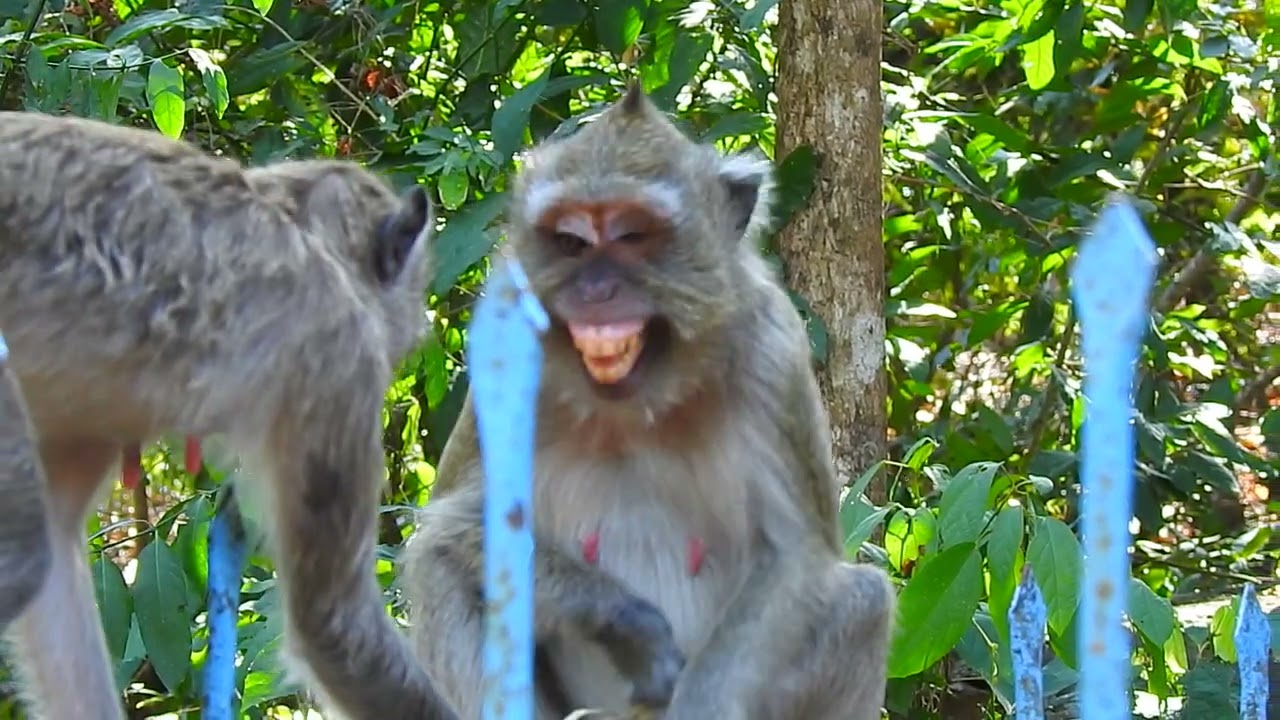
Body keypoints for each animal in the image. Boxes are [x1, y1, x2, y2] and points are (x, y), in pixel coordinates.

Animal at [400, 83, 896, 720]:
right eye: (570, 241)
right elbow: (461, 521)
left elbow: (794, 557)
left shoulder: (772, 349)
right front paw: (626, 624)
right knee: (436, 563)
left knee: (864, 599)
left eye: (633, 236)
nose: (594, 291)